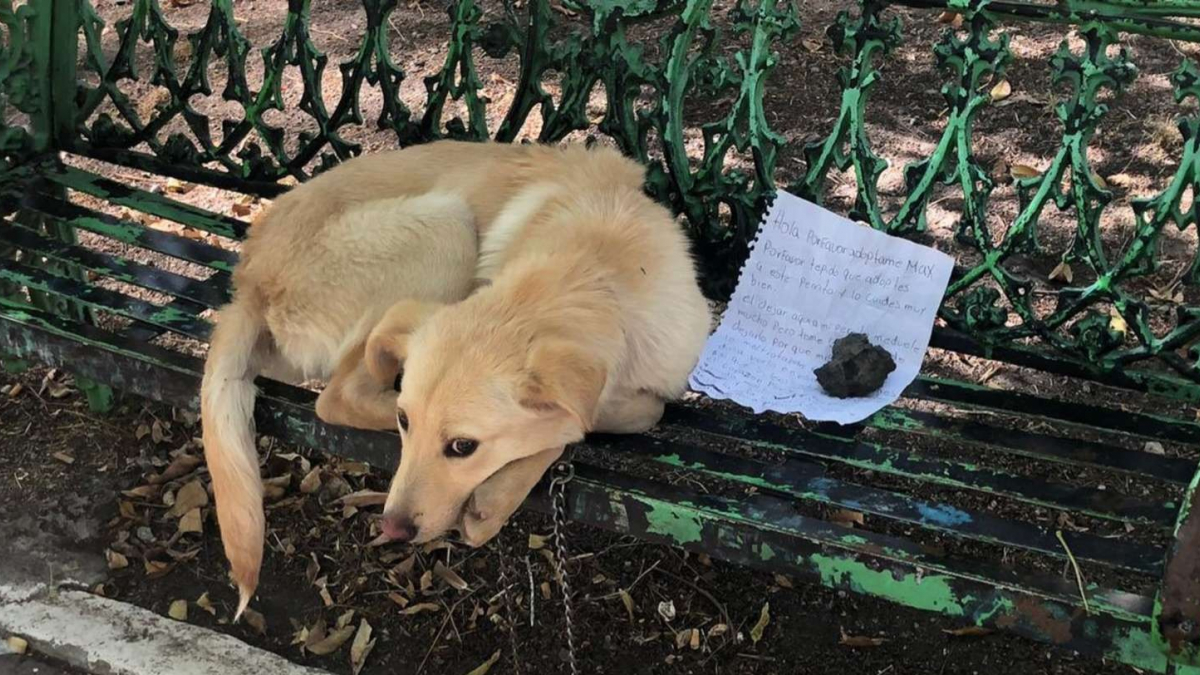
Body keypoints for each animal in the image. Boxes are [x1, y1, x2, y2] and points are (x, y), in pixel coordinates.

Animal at [199, 139, 710, 619]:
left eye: (463, 446)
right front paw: (502, 491)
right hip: (446, 225)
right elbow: (594, 420)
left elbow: (625, 411)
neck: (593, 270)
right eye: (406, 422)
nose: (392, 528)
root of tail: (249, 280)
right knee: (337, 397)